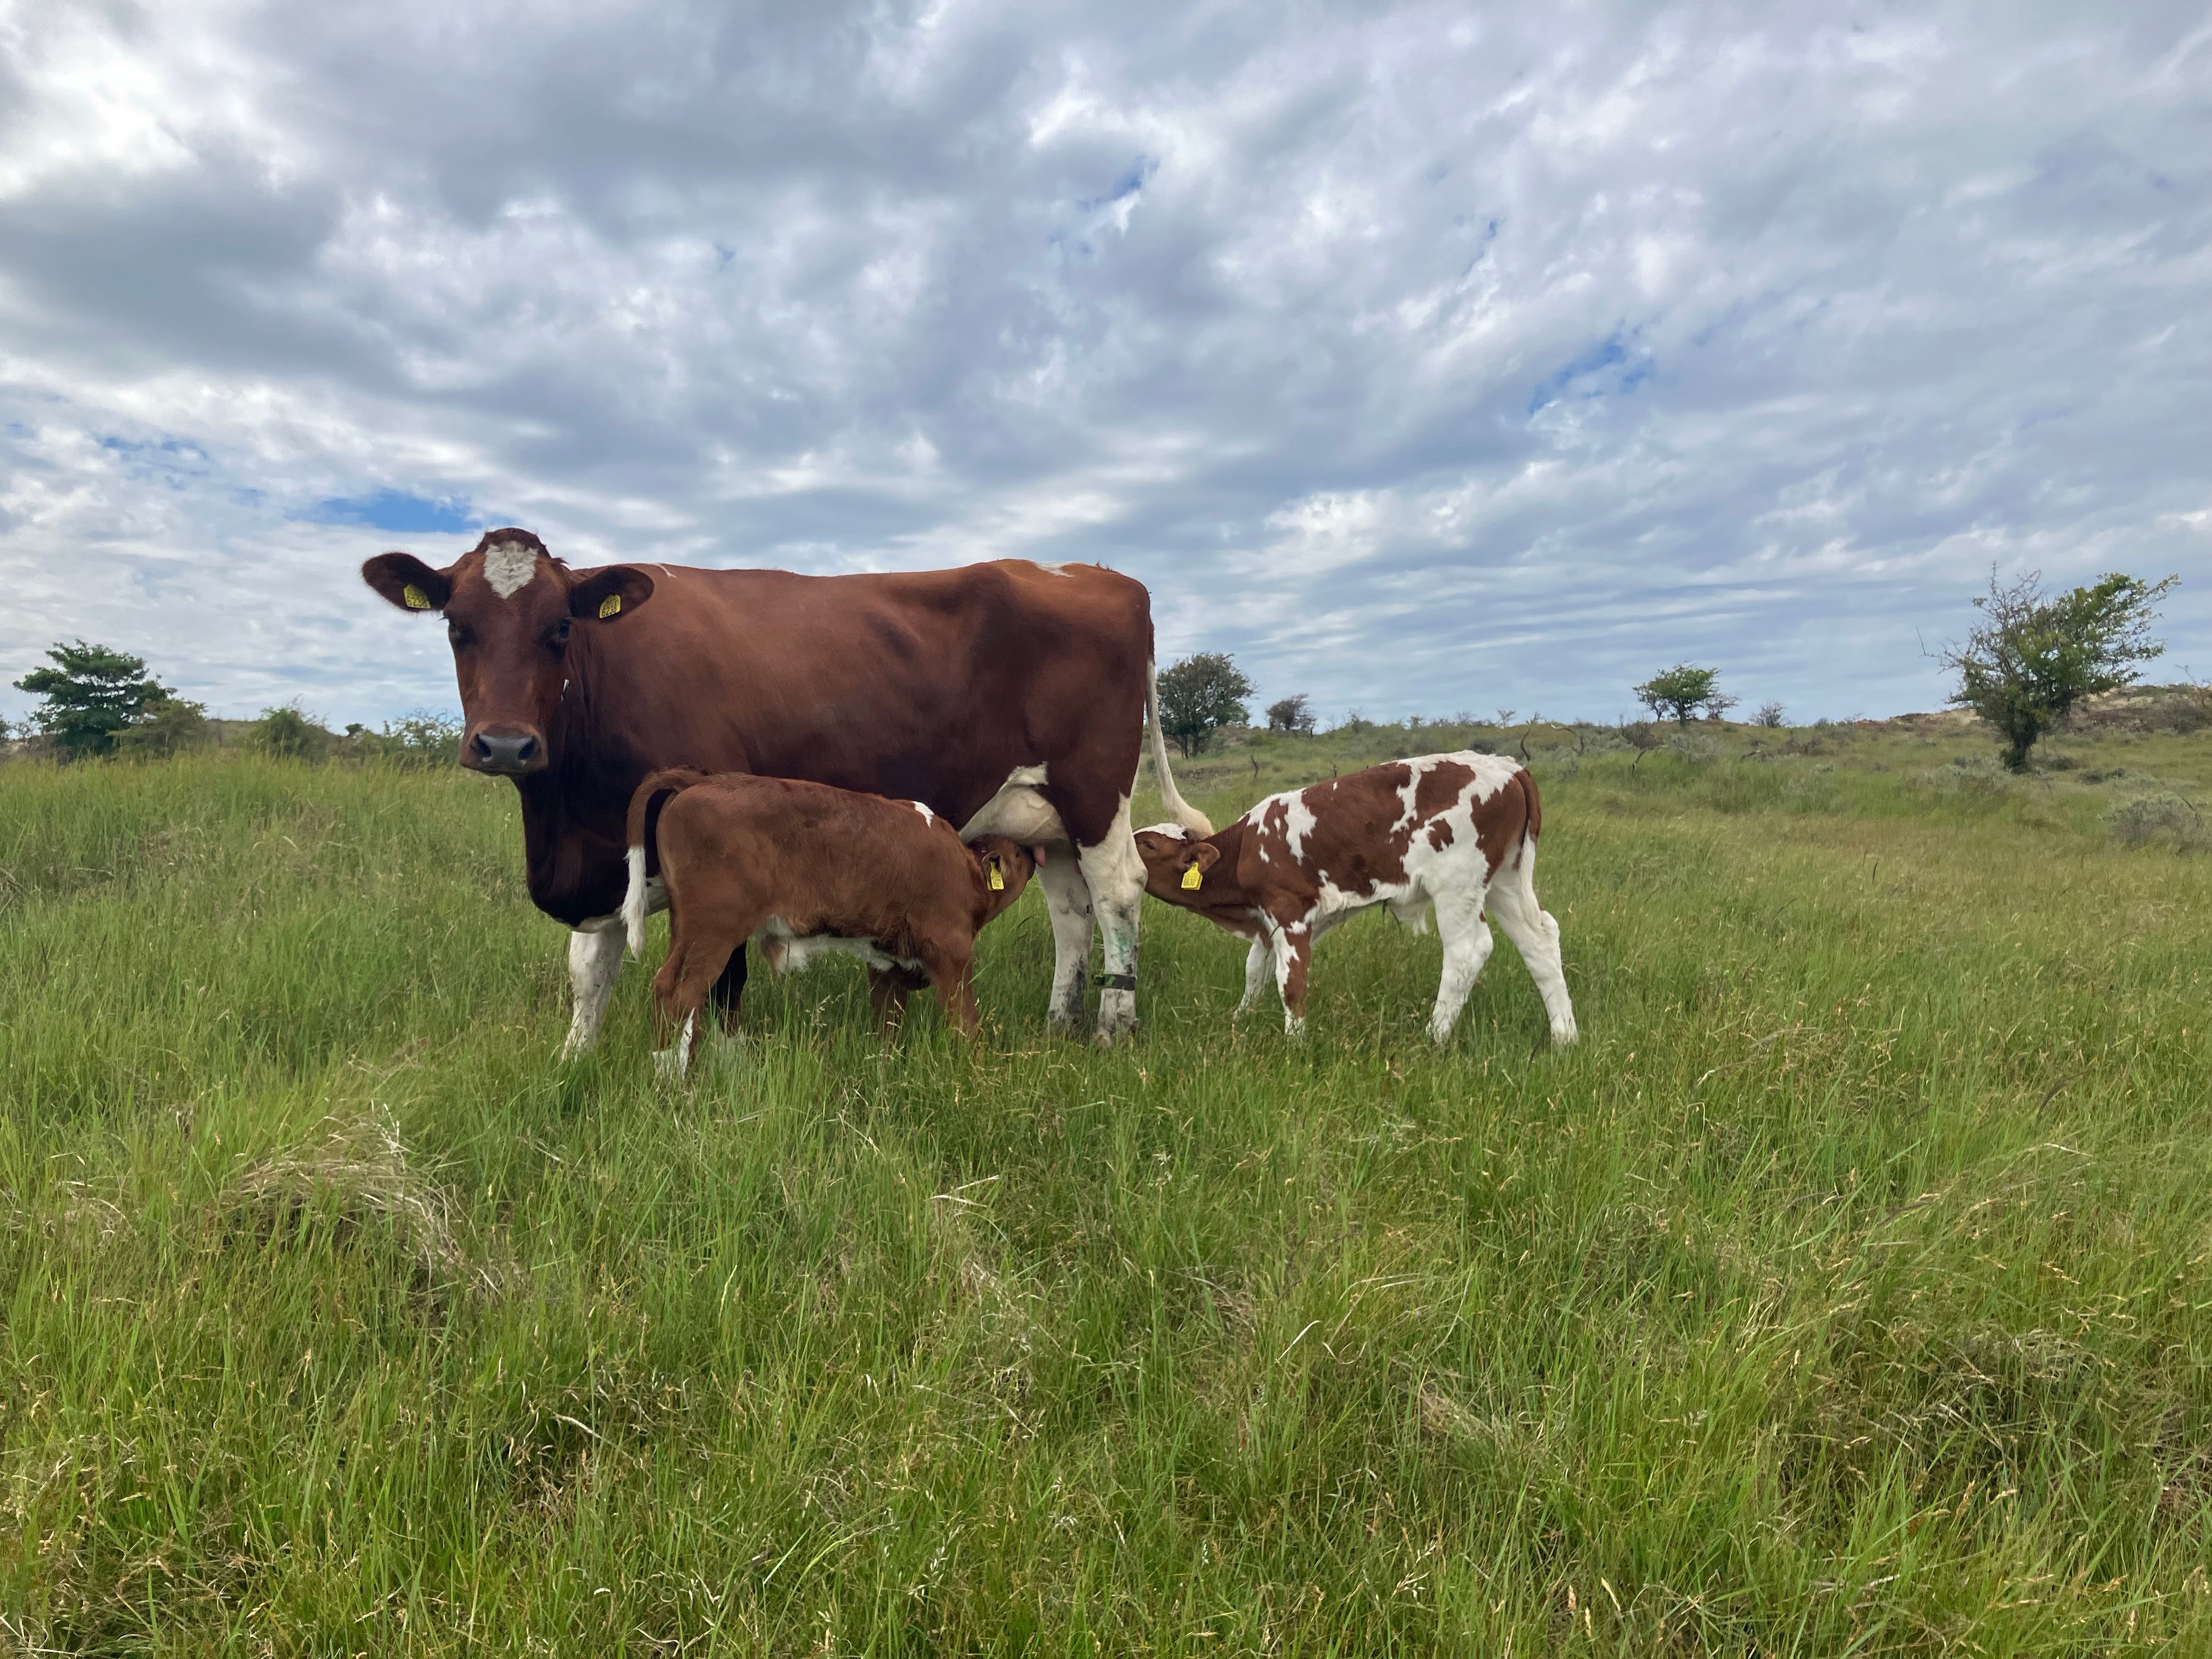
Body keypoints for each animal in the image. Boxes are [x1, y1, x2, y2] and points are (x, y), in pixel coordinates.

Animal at [619, 769, 1036, 1072]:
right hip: (713, 930)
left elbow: (888, 1027)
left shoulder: (885, 961)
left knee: (671, 991)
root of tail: (699, 781)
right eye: (1016, 853)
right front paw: (974, 1072)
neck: (963, 870)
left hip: (685, 928)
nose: (1032, 853)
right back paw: (681, 1082)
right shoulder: (953, 952)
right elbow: (965, 1024)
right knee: (681, 995)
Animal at [1131, 751, 1578, 1045]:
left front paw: (1294, 1043)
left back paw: (1433, 1038)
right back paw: (1564, 1037)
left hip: (1458, 884)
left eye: (1149, 846)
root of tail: (1508, 767)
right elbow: (1256, 969)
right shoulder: (1271, 920)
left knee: (1467, 951)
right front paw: (1242, 1017)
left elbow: (1291, 982)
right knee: (1539, 940)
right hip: (1506, 879)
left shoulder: (1289, 911)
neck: (1246, 848)